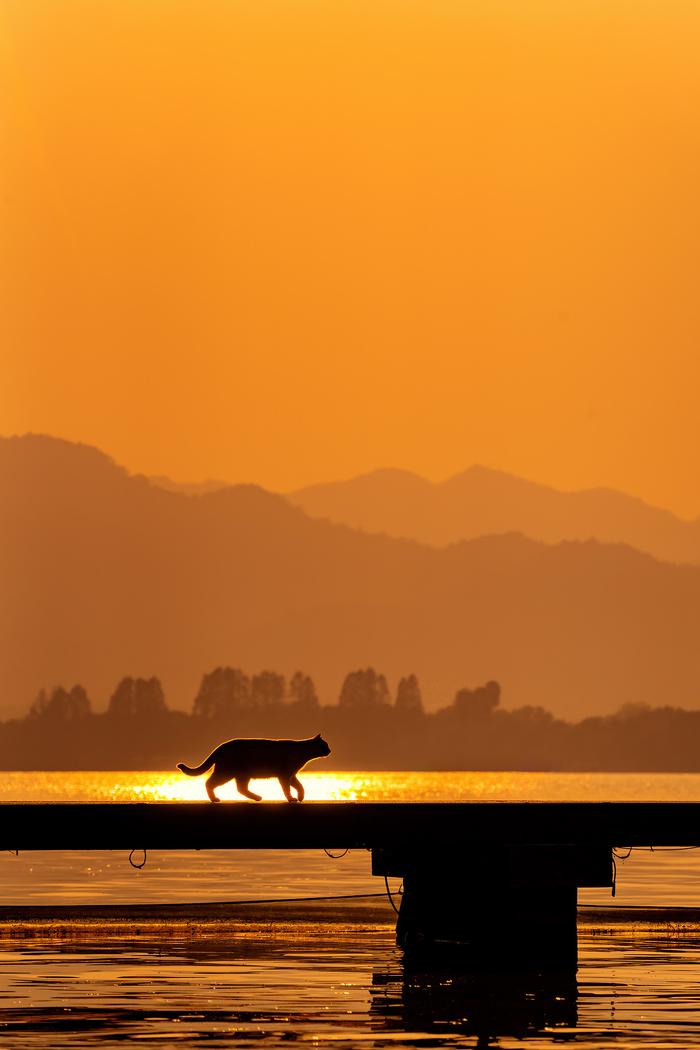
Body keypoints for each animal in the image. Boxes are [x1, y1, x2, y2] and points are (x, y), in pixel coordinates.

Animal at [174, 734, 329, 797]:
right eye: (325, 745)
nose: (330, 750)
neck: (301, 751)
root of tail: (221, 746)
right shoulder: (284, 775)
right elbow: (287, 789)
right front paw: (291, 799)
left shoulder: (291, 775)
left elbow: (299, 786)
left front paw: (300, 797)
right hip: (226, 772)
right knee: (209, 783)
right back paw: (214, 799)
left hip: (242, 775)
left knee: (241, 789)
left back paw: (257, 797)